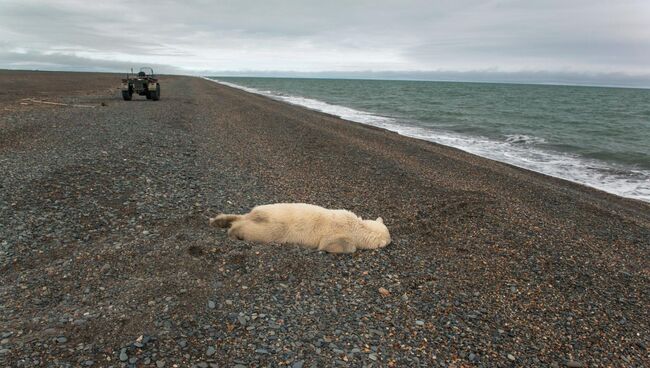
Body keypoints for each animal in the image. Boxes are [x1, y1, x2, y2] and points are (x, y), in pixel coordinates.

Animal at [209, 204, 390, 253]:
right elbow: (330, 244)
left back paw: (219, 221)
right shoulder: (338, 232)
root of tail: (255, 214)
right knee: (247, 228)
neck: (358, 226)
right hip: (269, 229)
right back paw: (232, 231)